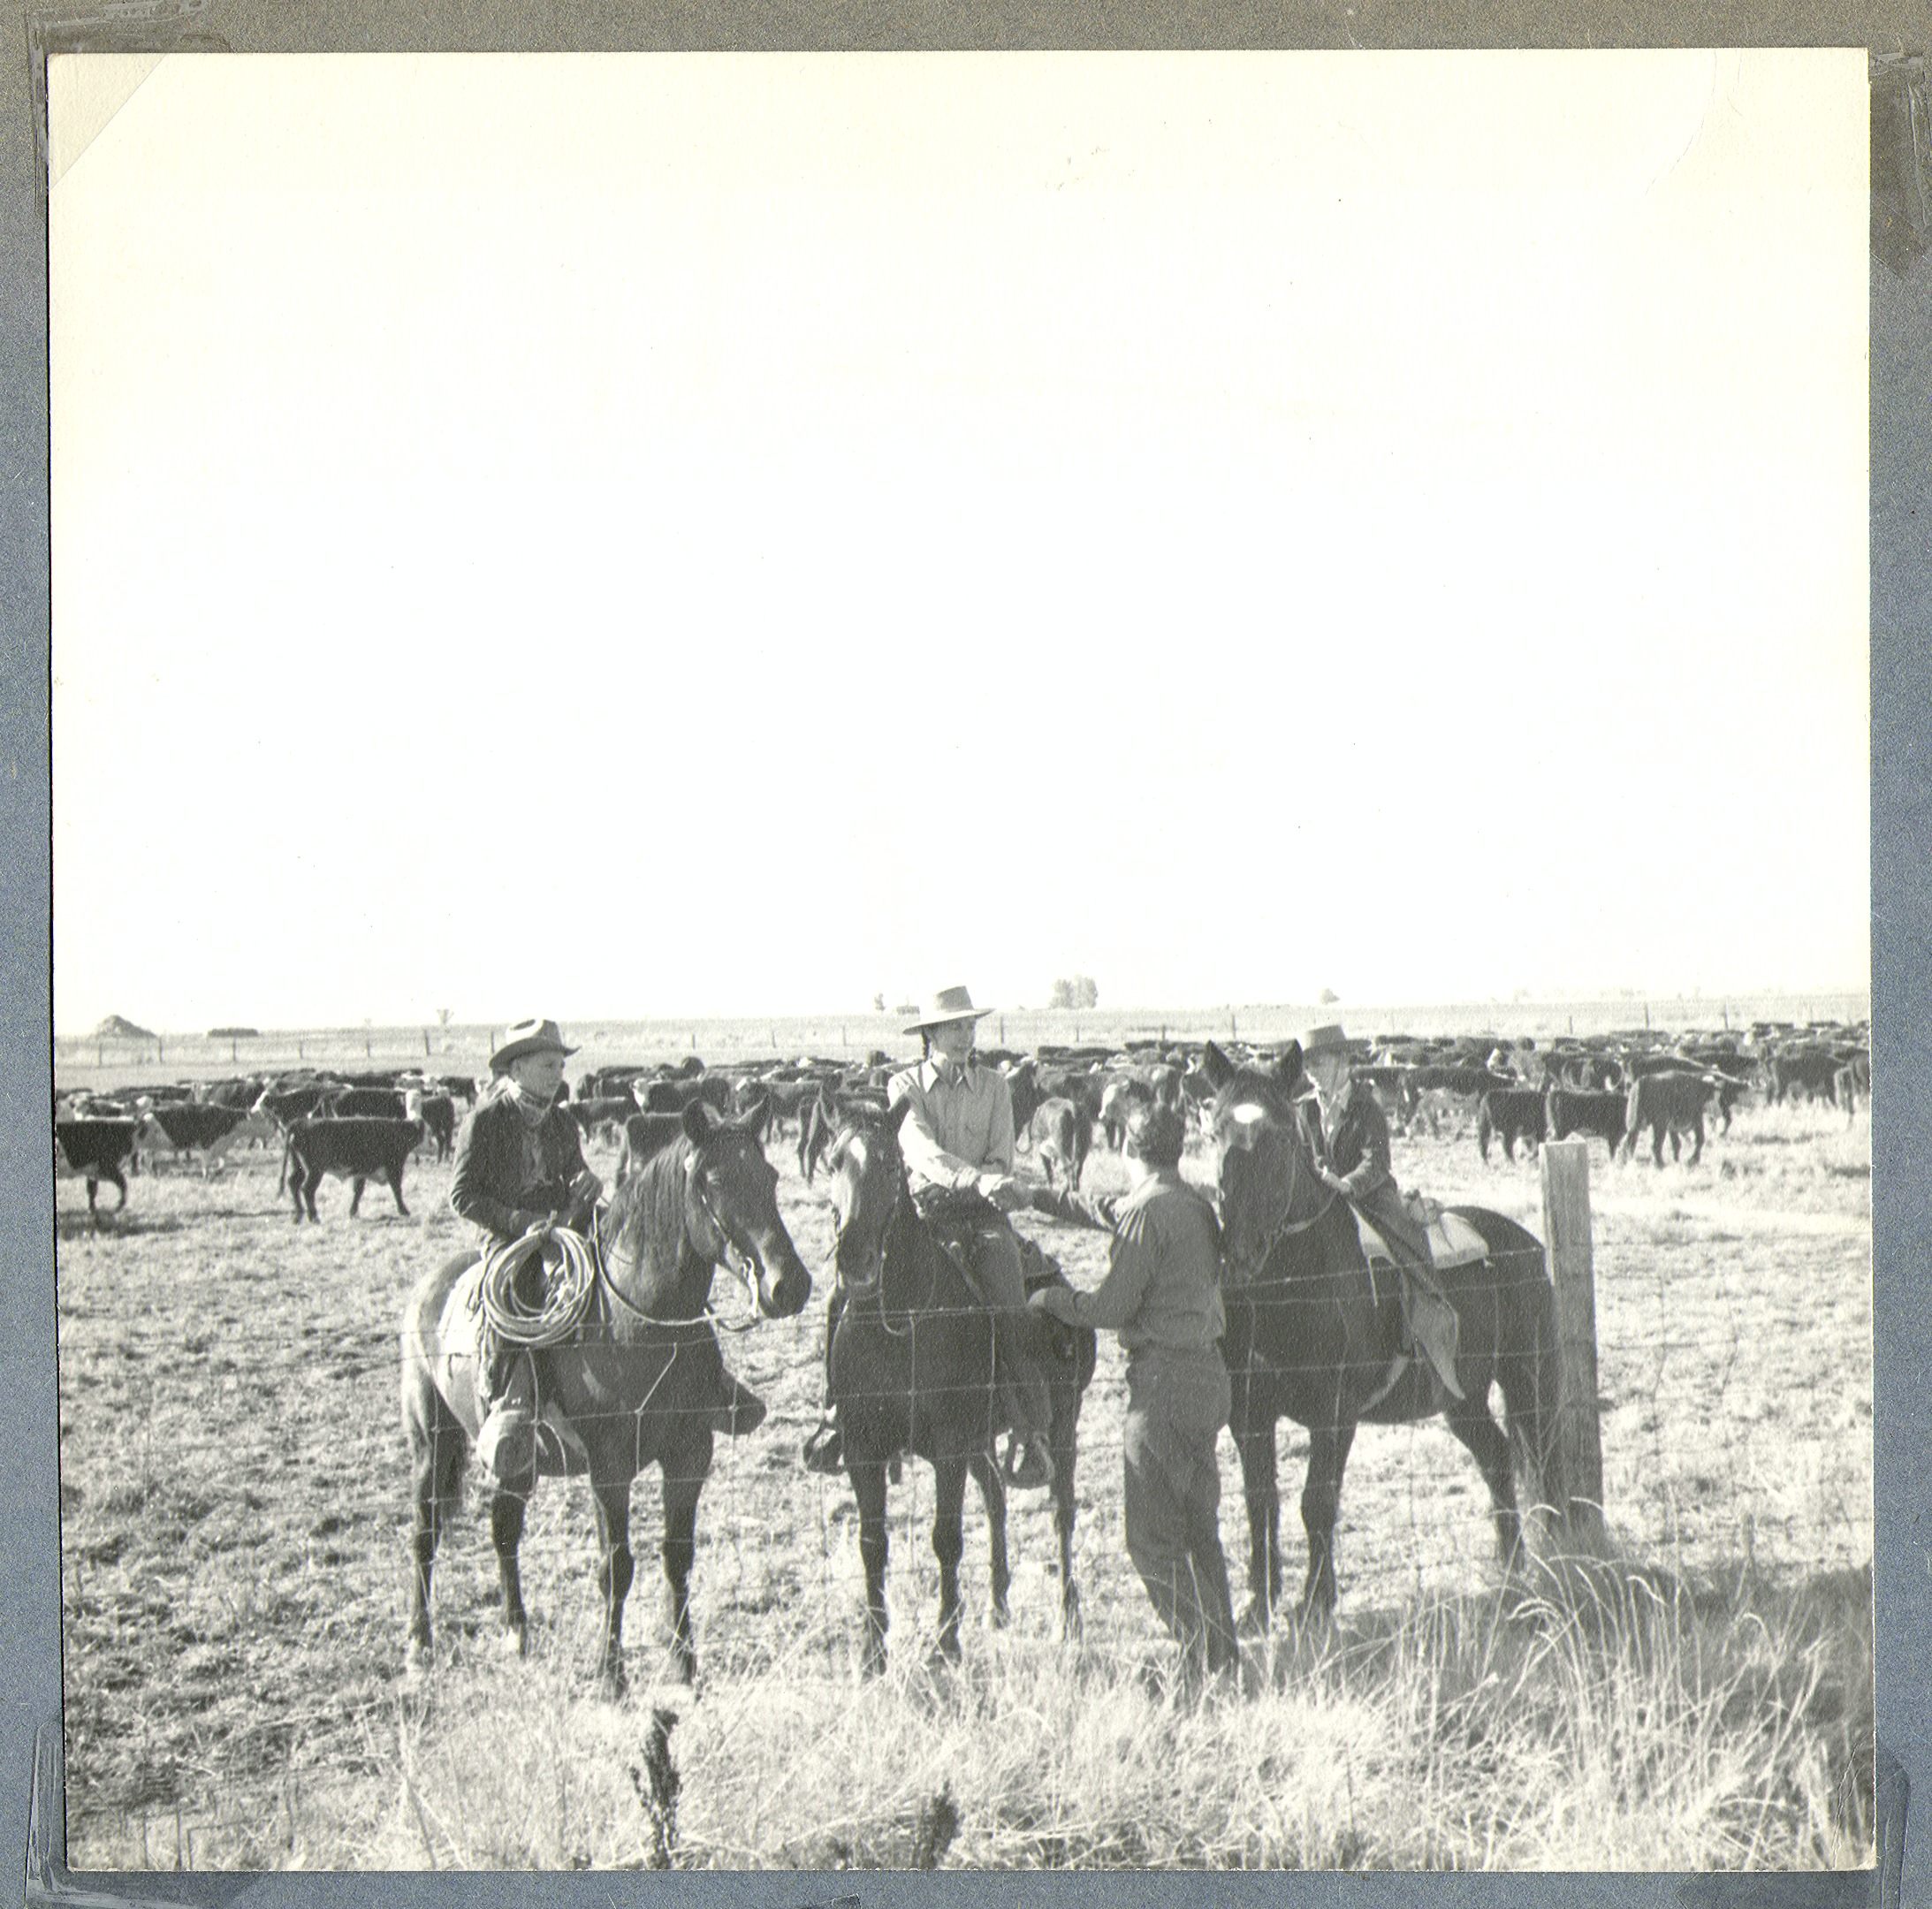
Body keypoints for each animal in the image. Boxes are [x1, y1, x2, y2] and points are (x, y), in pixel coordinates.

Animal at [56, 1113, 139, 1228]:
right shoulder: (107, 1168)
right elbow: (123, 1185)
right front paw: (118, 1206)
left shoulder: (93, 1173)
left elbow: (92, 1193)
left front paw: (97, 1220)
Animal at [282, 1121, 422, 1221]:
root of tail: (301, 1123)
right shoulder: (395, 1167)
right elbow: (397, 1189)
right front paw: (404, 1210)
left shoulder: (361, 1173)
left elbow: (358, 1191)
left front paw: (353, 1212)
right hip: (315, 1171)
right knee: (307, 1189)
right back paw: (314, 1216)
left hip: (299, 1167)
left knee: (293, 1184)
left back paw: (299, 1214)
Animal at [399, 1097, 807, 1692]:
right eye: (712, 1181)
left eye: (771, 1176)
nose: (789, 1286)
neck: (637, 1323)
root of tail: (427, 1287)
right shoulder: (609, 1467)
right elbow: (615, 1567)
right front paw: (611, 1675)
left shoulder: (690, 1455)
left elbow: (677, 1557)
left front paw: (685, 1665)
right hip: (432, 1441)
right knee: (425, 1533)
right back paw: (418, 1642)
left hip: (516, 1460)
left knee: (503, 1529)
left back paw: (517, 1632)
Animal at [818, 1105, 1105, 1669]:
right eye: (834, 1161)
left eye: (891, 1166)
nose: (854, 1258)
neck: (898, 1326)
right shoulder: (863, 1451)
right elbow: (872, 1543)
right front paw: (873, 1649)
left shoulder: (948, 1450)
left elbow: (945, 1539)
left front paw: (946, 1643)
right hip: (982, 1440)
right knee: (995, 1499)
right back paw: (997, 1607)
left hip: (1063, 1425)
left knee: (1061, 1512)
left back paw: (1069, 1617)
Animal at [1206, 1043, 1569, 1623]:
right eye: (1215, 1130)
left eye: (1280, 1136)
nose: (1241, 1253)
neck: (1290, 1287)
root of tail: (1527, 1244)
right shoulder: (1249, 1416)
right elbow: (1260, 1502)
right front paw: (1258, 1603)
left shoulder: (1335, 1414)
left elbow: (1317, 1502)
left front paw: (1316, 1601)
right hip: (1461, 1398)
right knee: (1496, 1458)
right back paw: (1507, 1566)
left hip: (1527, 1378)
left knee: (1542, 1455)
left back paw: (1555, 1556)